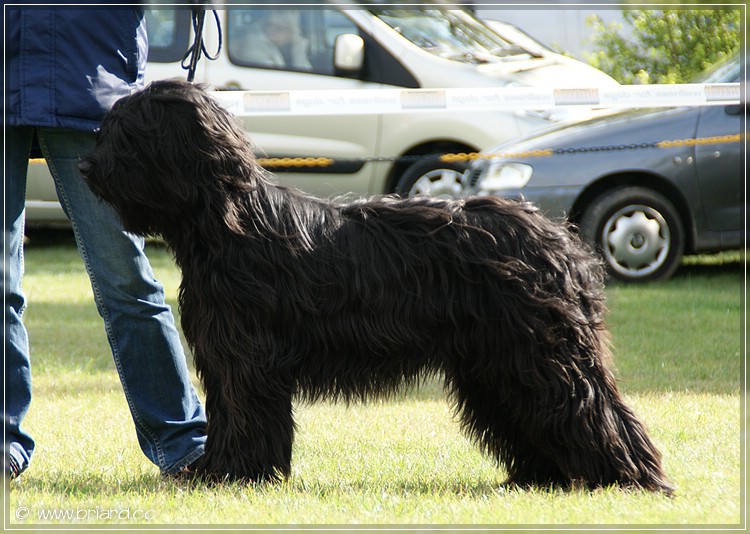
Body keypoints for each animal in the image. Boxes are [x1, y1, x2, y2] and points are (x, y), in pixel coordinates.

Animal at [81, 78, 676, 494]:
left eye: (128, 134)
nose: (86, 168)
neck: (230, 224)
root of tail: (559, 239)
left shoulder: (246, 356)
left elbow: (244, 414)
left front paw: (232, 474)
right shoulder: (228, 357)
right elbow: (230, 411)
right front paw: (220, 471)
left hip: (540, 351)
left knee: (590, 403)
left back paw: (633, 478)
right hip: (495, 362)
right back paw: (542, 479)